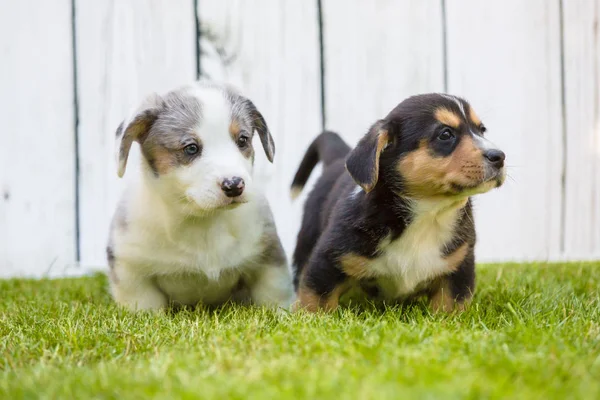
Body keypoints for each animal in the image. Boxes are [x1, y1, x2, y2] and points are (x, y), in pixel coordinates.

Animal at [109, 82, 296, 312]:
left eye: (242, 140)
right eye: (191, 148)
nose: (234, 185)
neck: (203, 221)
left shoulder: (268, 262)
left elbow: (274, 300)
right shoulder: (132, 272)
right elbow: (145, 307)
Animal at [290, 93, 506, 312]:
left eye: (482, 130)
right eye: (445, 134)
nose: (500, 157)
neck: (429, 213)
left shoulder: (459, 267)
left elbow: (448, 309)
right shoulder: (327, 261)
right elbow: (316, 304)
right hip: (306, 239)